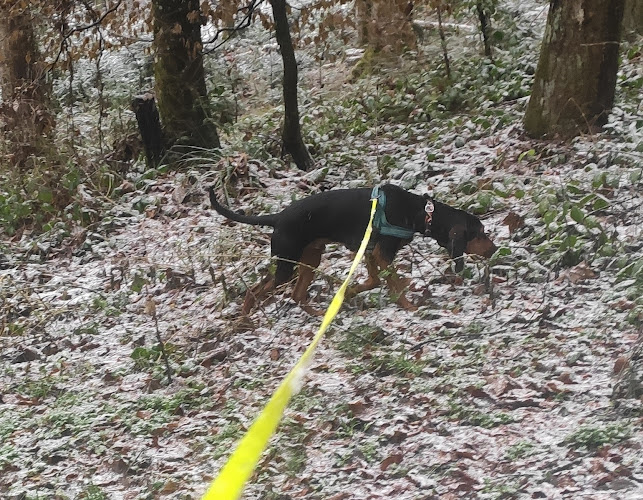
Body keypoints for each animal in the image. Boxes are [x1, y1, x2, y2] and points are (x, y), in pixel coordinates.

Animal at [209, 186, 496, 312]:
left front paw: (348, 293)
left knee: (297, 294)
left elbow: (373, 281)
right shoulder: (382, 253)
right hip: (286, 263)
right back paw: (244, 320)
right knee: (255, 290)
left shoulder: (369, 251)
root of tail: (278, 217)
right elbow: (393, 283)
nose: (494, 250)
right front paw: (409, 307)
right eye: (481, 232)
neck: (421, 212)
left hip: (310, 259)